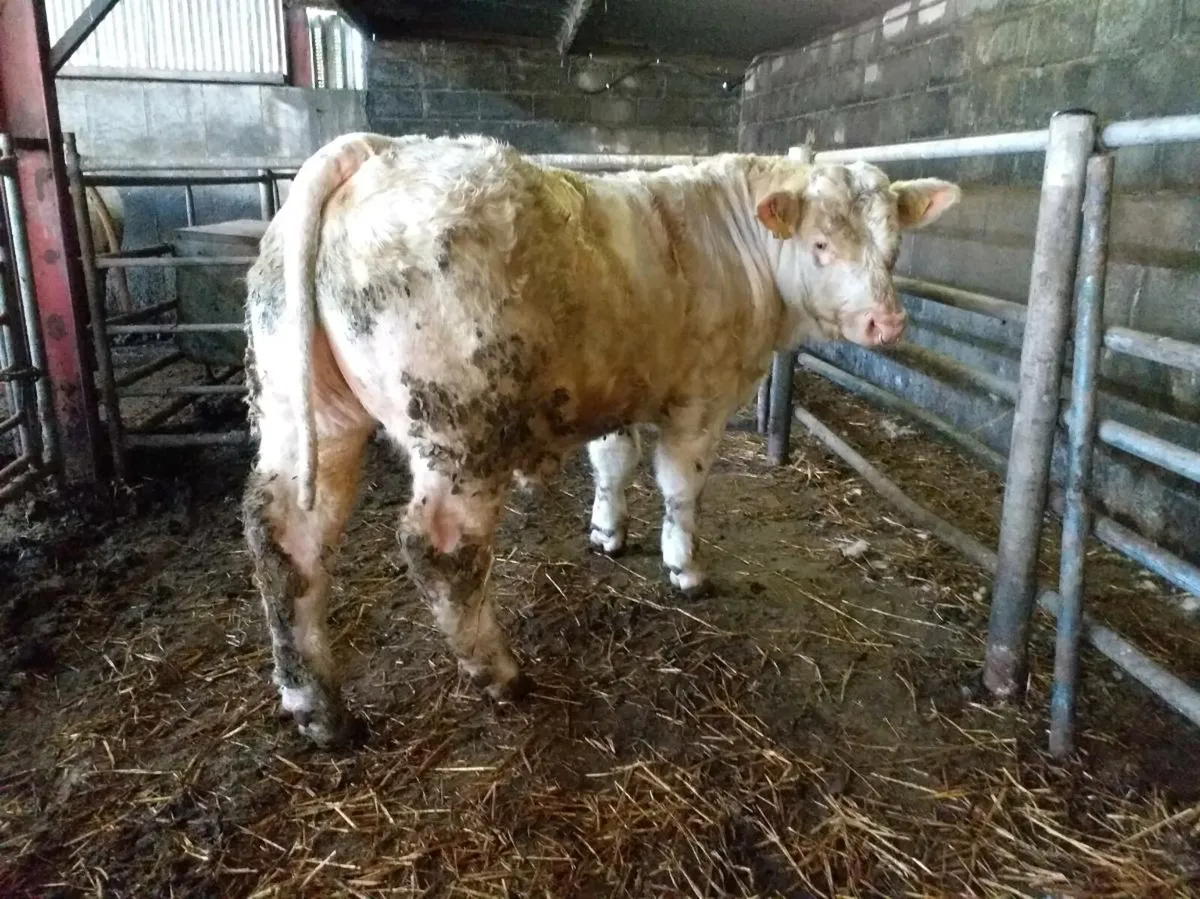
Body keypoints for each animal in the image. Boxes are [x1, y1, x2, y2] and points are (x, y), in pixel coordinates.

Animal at [241, 132, 960, 748]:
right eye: (820, 244)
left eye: (894, 245)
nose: (887, 320)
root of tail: (374, 150)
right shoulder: (700, 395)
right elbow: (681, 483)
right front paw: (685, 567)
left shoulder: (622, 388)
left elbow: (613, 462)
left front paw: (607, 533)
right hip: (460, 430)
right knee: (441, 549)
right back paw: (500, 674)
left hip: (304, 413)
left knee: (287, 539)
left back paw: (320, 711)